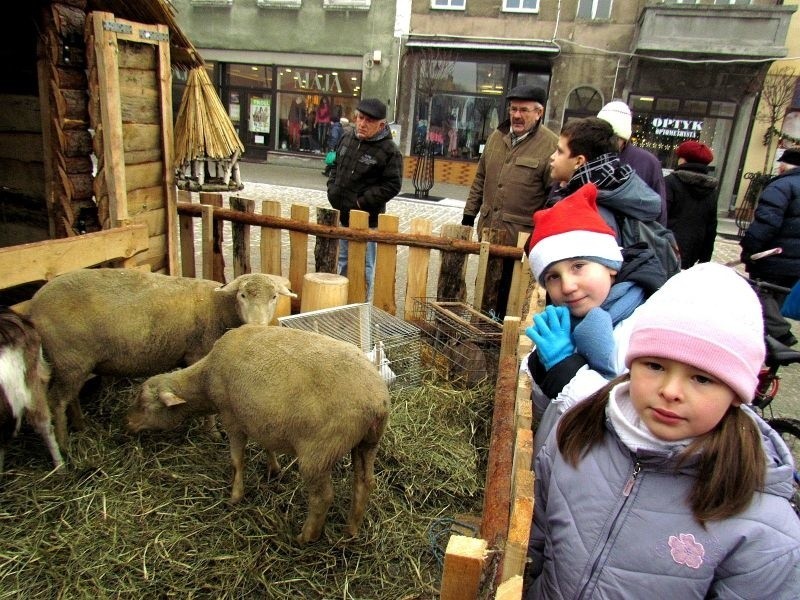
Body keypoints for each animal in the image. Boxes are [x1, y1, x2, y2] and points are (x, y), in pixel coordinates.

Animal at [28, 268, 298, 446]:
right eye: (242, 295)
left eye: (274, 297)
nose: (257, 325)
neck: (220, 307)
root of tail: (35, 303)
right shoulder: (198, 354)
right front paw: (211, 432)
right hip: (70, 357)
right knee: (56, 401)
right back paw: (65, 448)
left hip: (72, 362)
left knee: (69, 396)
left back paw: (80, 426)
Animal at [126, 324, 392, 544]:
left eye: (143, 403)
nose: (127, 424)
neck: (205, 379)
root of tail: (376, 400)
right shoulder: (263, 418)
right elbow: (267, 444)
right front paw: (273, 469)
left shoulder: (231, 417)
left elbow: (237, 461)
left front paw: (235, 496)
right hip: (368, 442)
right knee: (364, 483)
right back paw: (351, 530)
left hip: (319, 452)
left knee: (322, 497)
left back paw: (305, 537)